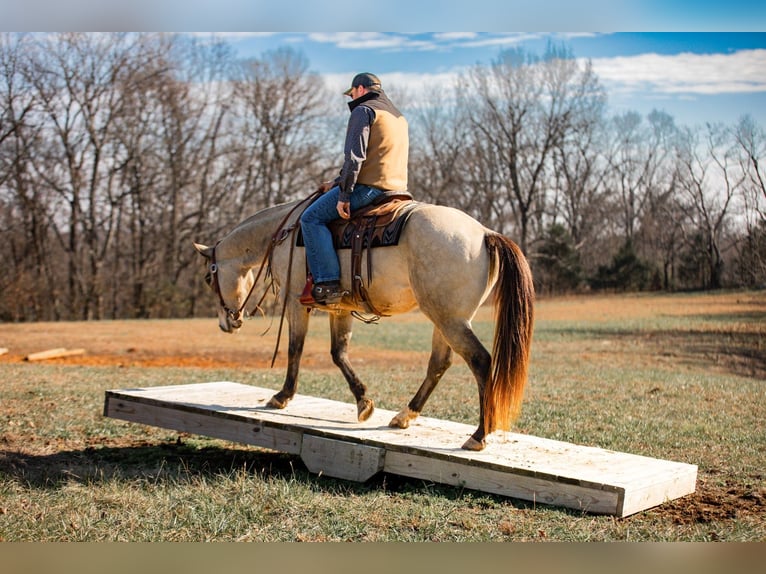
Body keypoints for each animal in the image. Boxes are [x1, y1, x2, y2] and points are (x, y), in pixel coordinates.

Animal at [193, 195, 535, 451]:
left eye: (209, 277)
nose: (227, 324)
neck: (286, 234)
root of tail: (485, 233)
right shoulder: (339, 308)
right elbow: (338, 353)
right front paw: (363, 402)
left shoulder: (294, 302)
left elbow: (295, 349)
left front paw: (282, 396)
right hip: (446, 318)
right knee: (439, 363)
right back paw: (405, 416)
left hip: (449, 319)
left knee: (480, 361)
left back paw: (478, 435)